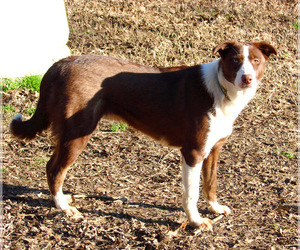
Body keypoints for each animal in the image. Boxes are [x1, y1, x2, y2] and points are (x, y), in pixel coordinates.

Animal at [9, 41, 276, 230]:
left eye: (255, 60)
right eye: (235, 61)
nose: (247, 78)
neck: (220, 90)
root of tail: (59, 64)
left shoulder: (214, 149)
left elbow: (211, 183)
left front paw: (215, 208)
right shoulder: (193, 152)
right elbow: (191, 193)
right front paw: (196, 222)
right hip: (77, 132)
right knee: (54, 169)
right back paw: (64, 207)